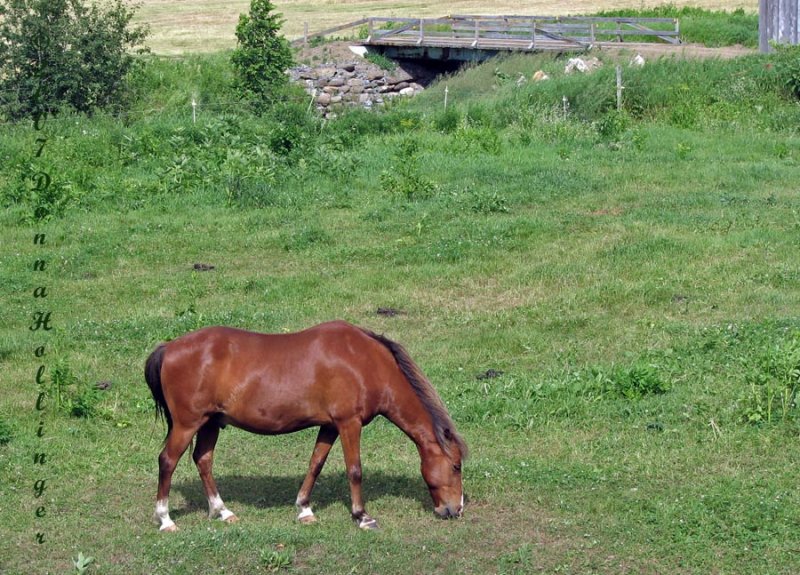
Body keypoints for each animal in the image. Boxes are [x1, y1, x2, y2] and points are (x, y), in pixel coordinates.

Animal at [145, 320, 468, 532]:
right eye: (456, 466)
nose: (455, 509)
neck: (365, 361)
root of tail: (168, 347)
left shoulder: (330, 426)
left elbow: (315, 464)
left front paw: (304, 509)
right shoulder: (349, 423)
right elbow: (355, 470)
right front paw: (362, 516)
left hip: (210, 423)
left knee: (203, 460)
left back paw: (222, 511)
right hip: (187, 424)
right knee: (167, 461)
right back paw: (165, 519)